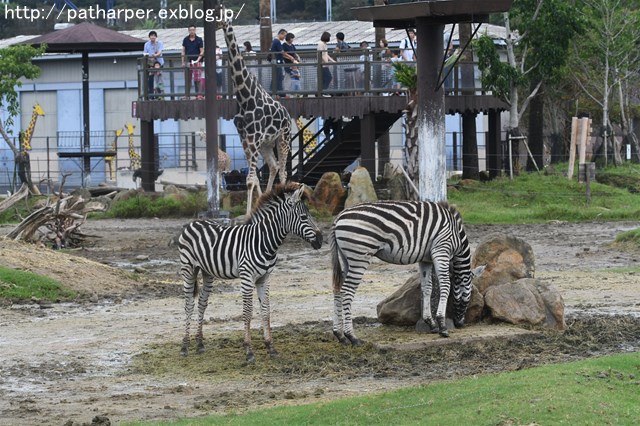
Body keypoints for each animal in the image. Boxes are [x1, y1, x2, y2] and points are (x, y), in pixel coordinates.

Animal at [178, 183, 322, 362]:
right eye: (303, 217)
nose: (321, 240)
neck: (263, 241)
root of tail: (194, 222)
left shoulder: (264, 278)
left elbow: (266, 310)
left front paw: (270, 347)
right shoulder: (247, 277)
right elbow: (247, 312)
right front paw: (249, 351)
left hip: (207, 272)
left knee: (202, 303)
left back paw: (199, 344)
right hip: (188, 269)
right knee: (189, 304)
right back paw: (184, 346)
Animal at [219, 18, 292, 215]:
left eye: (223, 13)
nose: (218, 23)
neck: (244, 96)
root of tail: (288, 114)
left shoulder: (254, 137)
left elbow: (251, 178)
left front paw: (247, 214)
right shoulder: (245, 138)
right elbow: (255, 177)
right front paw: (255, 208)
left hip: (284, 139)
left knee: (283, 172)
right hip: (267, 144)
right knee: (274, 166)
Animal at [330, 201, 484, 346]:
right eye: (470, 294)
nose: (460, 324)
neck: (457, 235)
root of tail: (338, 217)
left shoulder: (425, 260)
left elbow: (427, 288)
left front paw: (431, 323)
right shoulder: (441, 249)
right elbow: (445, 285)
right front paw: (442, 325)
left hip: (345, 258)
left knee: (337, 289)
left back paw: (340, 336)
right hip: (359, 256)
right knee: (347, 291)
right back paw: (352, 337)